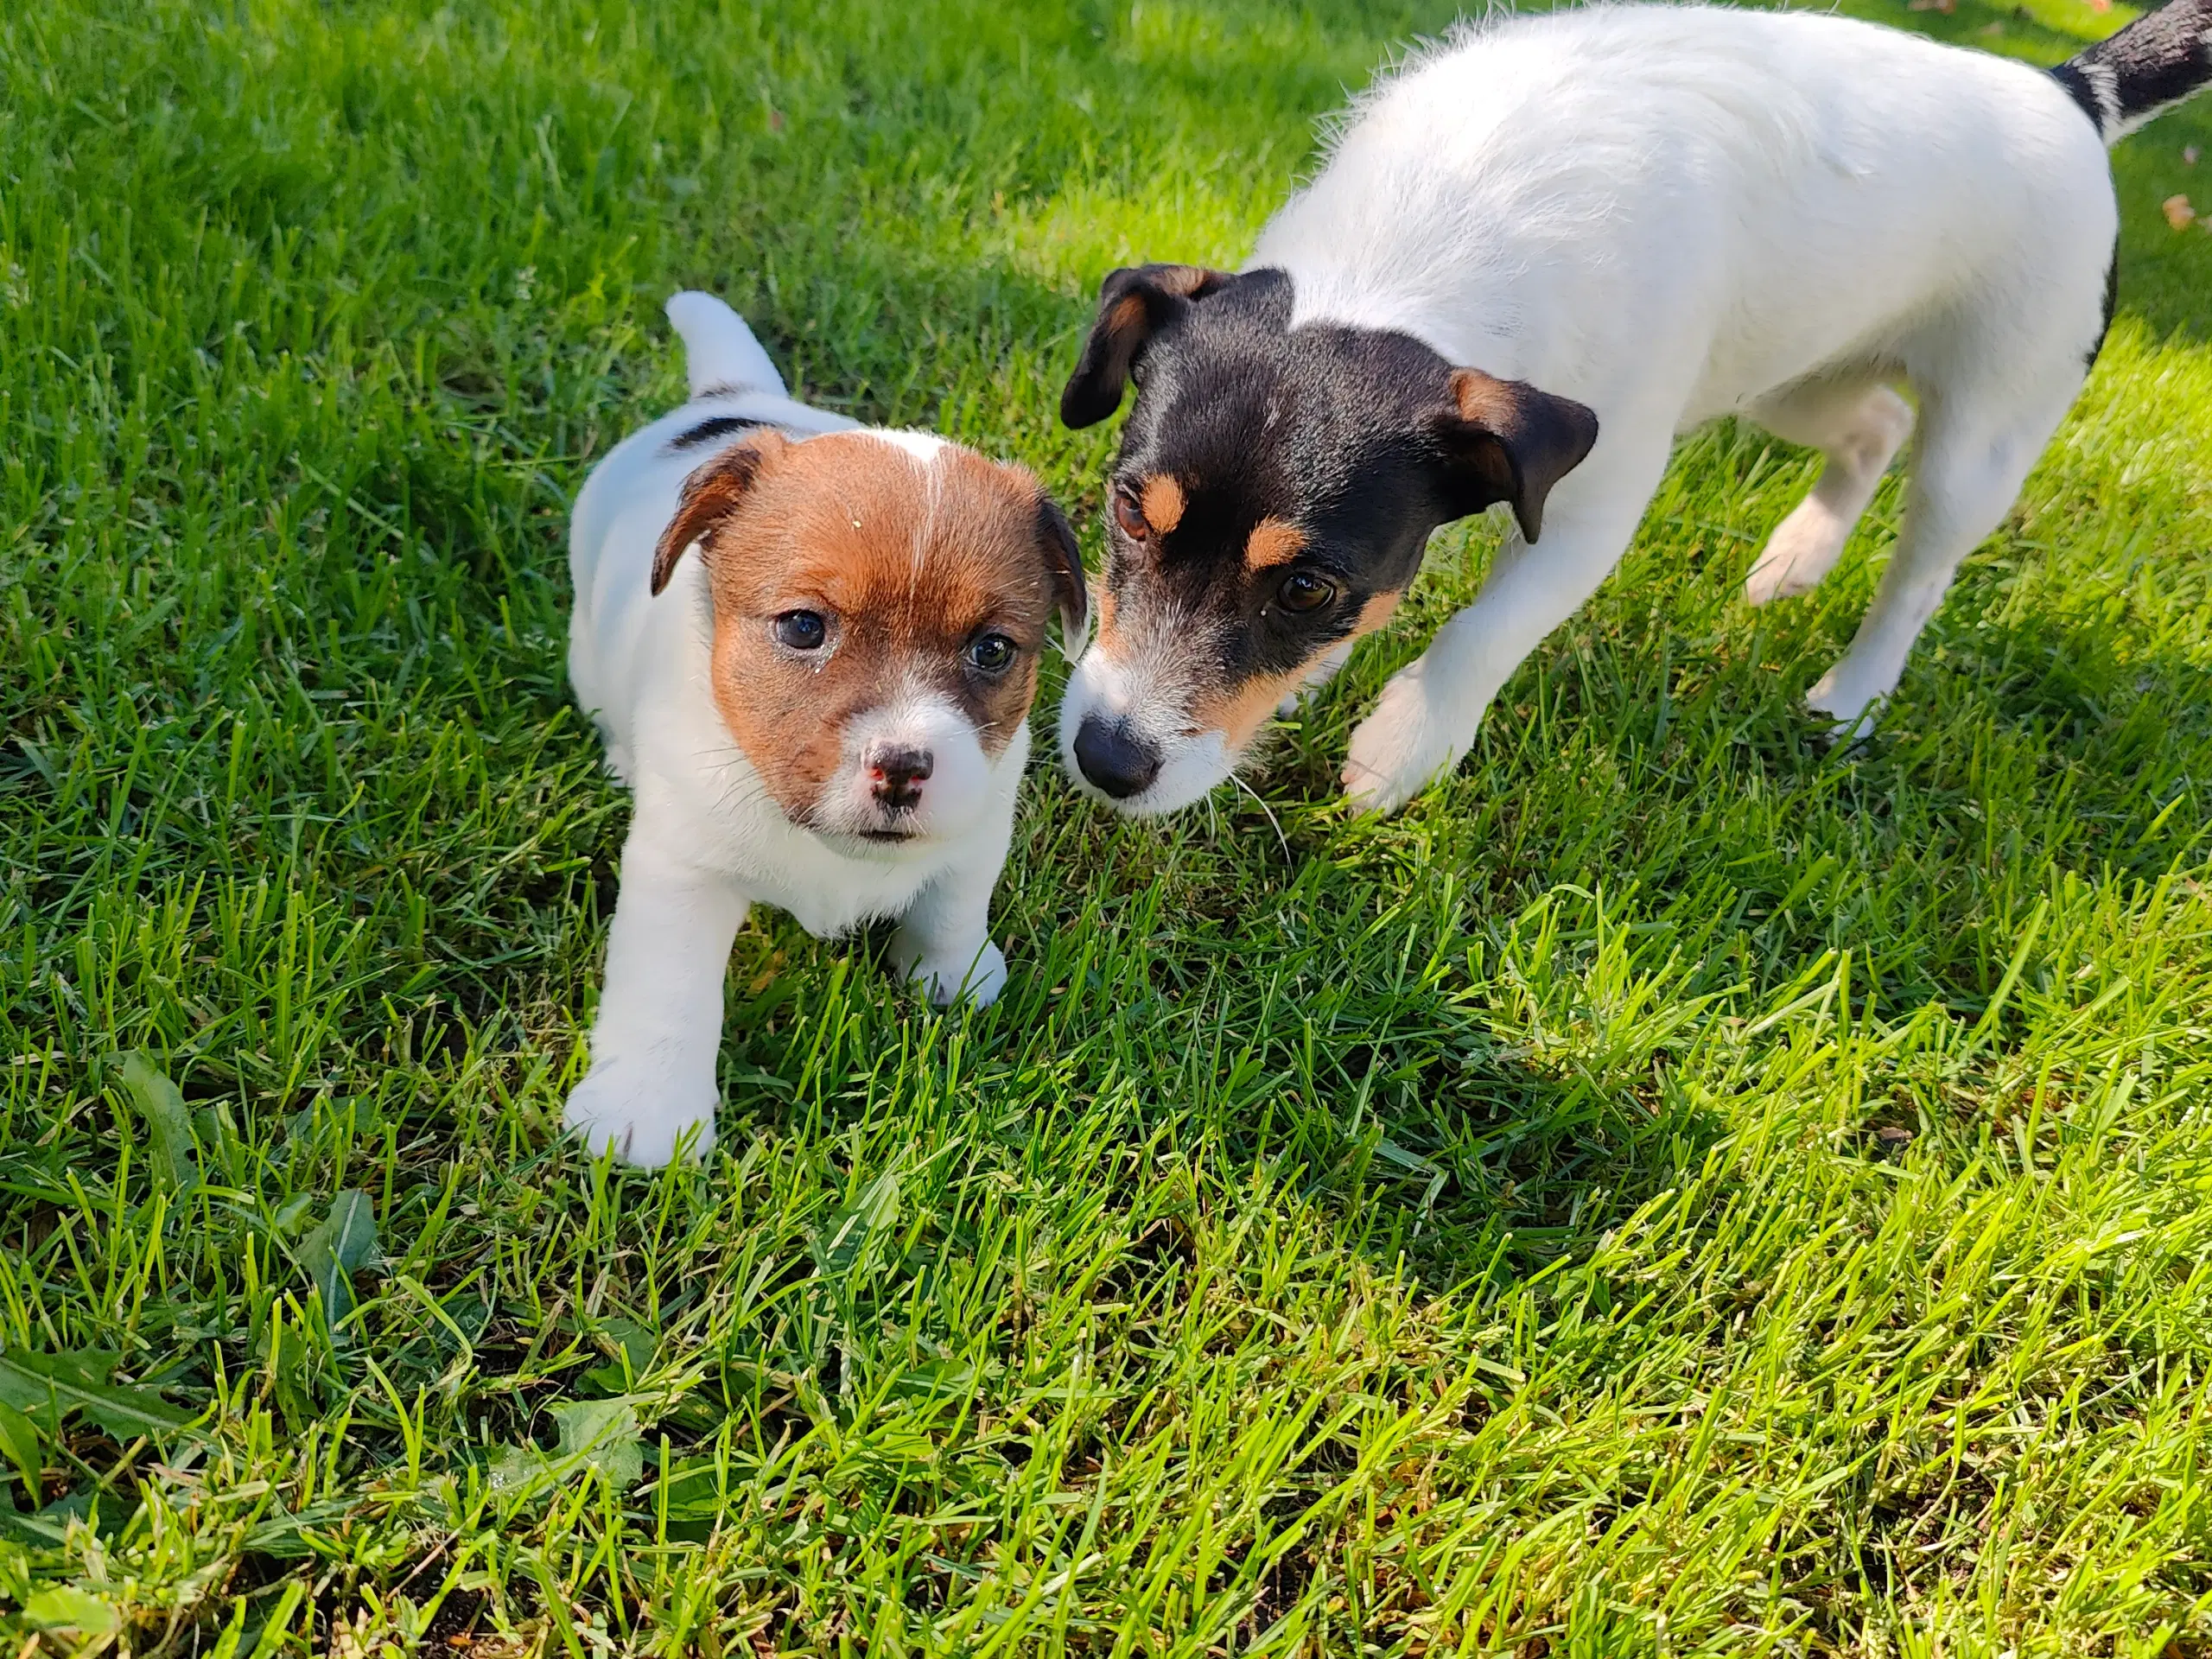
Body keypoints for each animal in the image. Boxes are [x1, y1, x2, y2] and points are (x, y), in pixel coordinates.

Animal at [566, 291, 1084, 1167]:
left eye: (992, 650)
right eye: (804, 627)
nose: (904, 768)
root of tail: (730, 396)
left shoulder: (978, 824)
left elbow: (953, 903)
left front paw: (951, 976)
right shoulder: (683, 872)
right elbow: (668, 989)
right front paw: (648, 1108)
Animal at [1052, 0, 2212, 818]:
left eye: (1303, 587)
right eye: (1126, 513)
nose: (1103, 759)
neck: (1422, 250)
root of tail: (2071, 91)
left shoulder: (1593, 498)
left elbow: (1491, 627)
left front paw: (1407, 745)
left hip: (1986, 426)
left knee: (1922, 566)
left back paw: (1854, 694)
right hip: (1792, 375)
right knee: (1871, 426)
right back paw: (1797, 558)